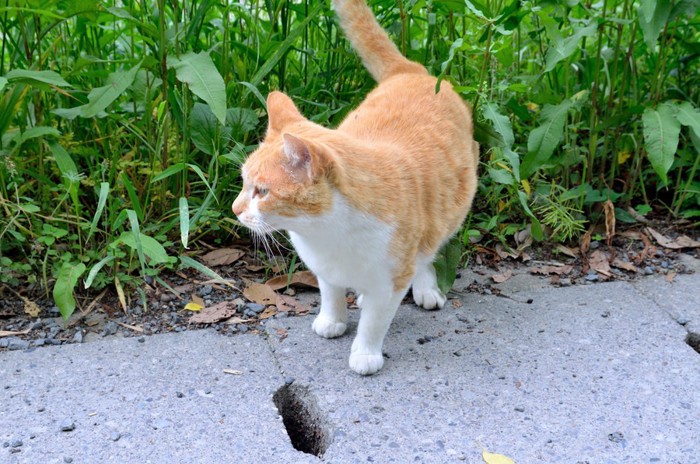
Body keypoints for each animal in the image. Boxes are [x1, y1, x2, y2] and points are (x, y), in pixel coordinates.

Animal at [232, 0, 478, 376]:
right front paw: (333, 320)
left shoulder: (391, 279)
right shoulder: (325, 269)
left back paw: (424, 287)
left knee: (428, 251)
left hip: (449, 210)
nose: (235, 209)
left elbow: (375, 321)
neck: (326, 232)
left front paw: (365, 353)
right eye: (245, 183)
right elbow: (331, 293)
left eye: (262, 191)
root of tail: (412, 72)